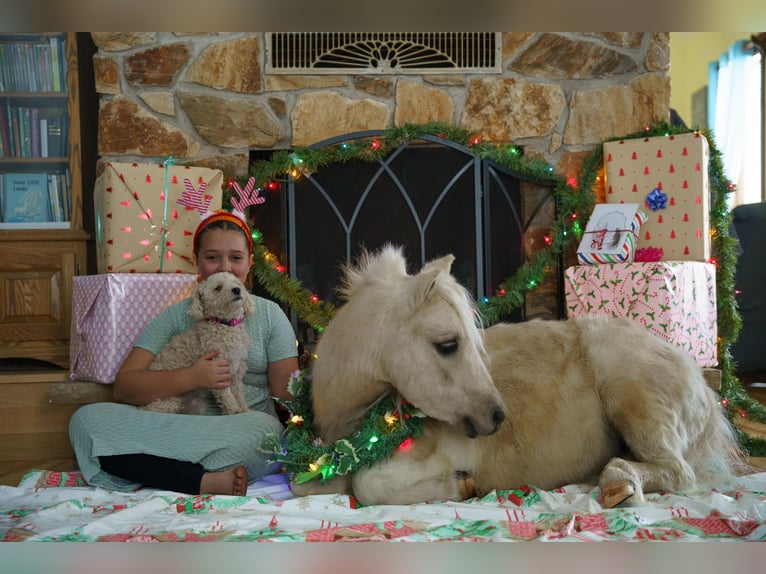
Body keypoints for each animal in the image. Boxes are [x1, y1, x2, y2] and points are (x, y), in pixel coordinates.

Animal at [290, 244, 744, 506]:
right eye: (448, 344)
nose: (496, 416)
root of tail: (702, 386)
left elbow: (366, 486)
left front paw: (461, 486)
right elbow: (305, 486)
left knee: (676, 471)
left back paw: (618, 483)